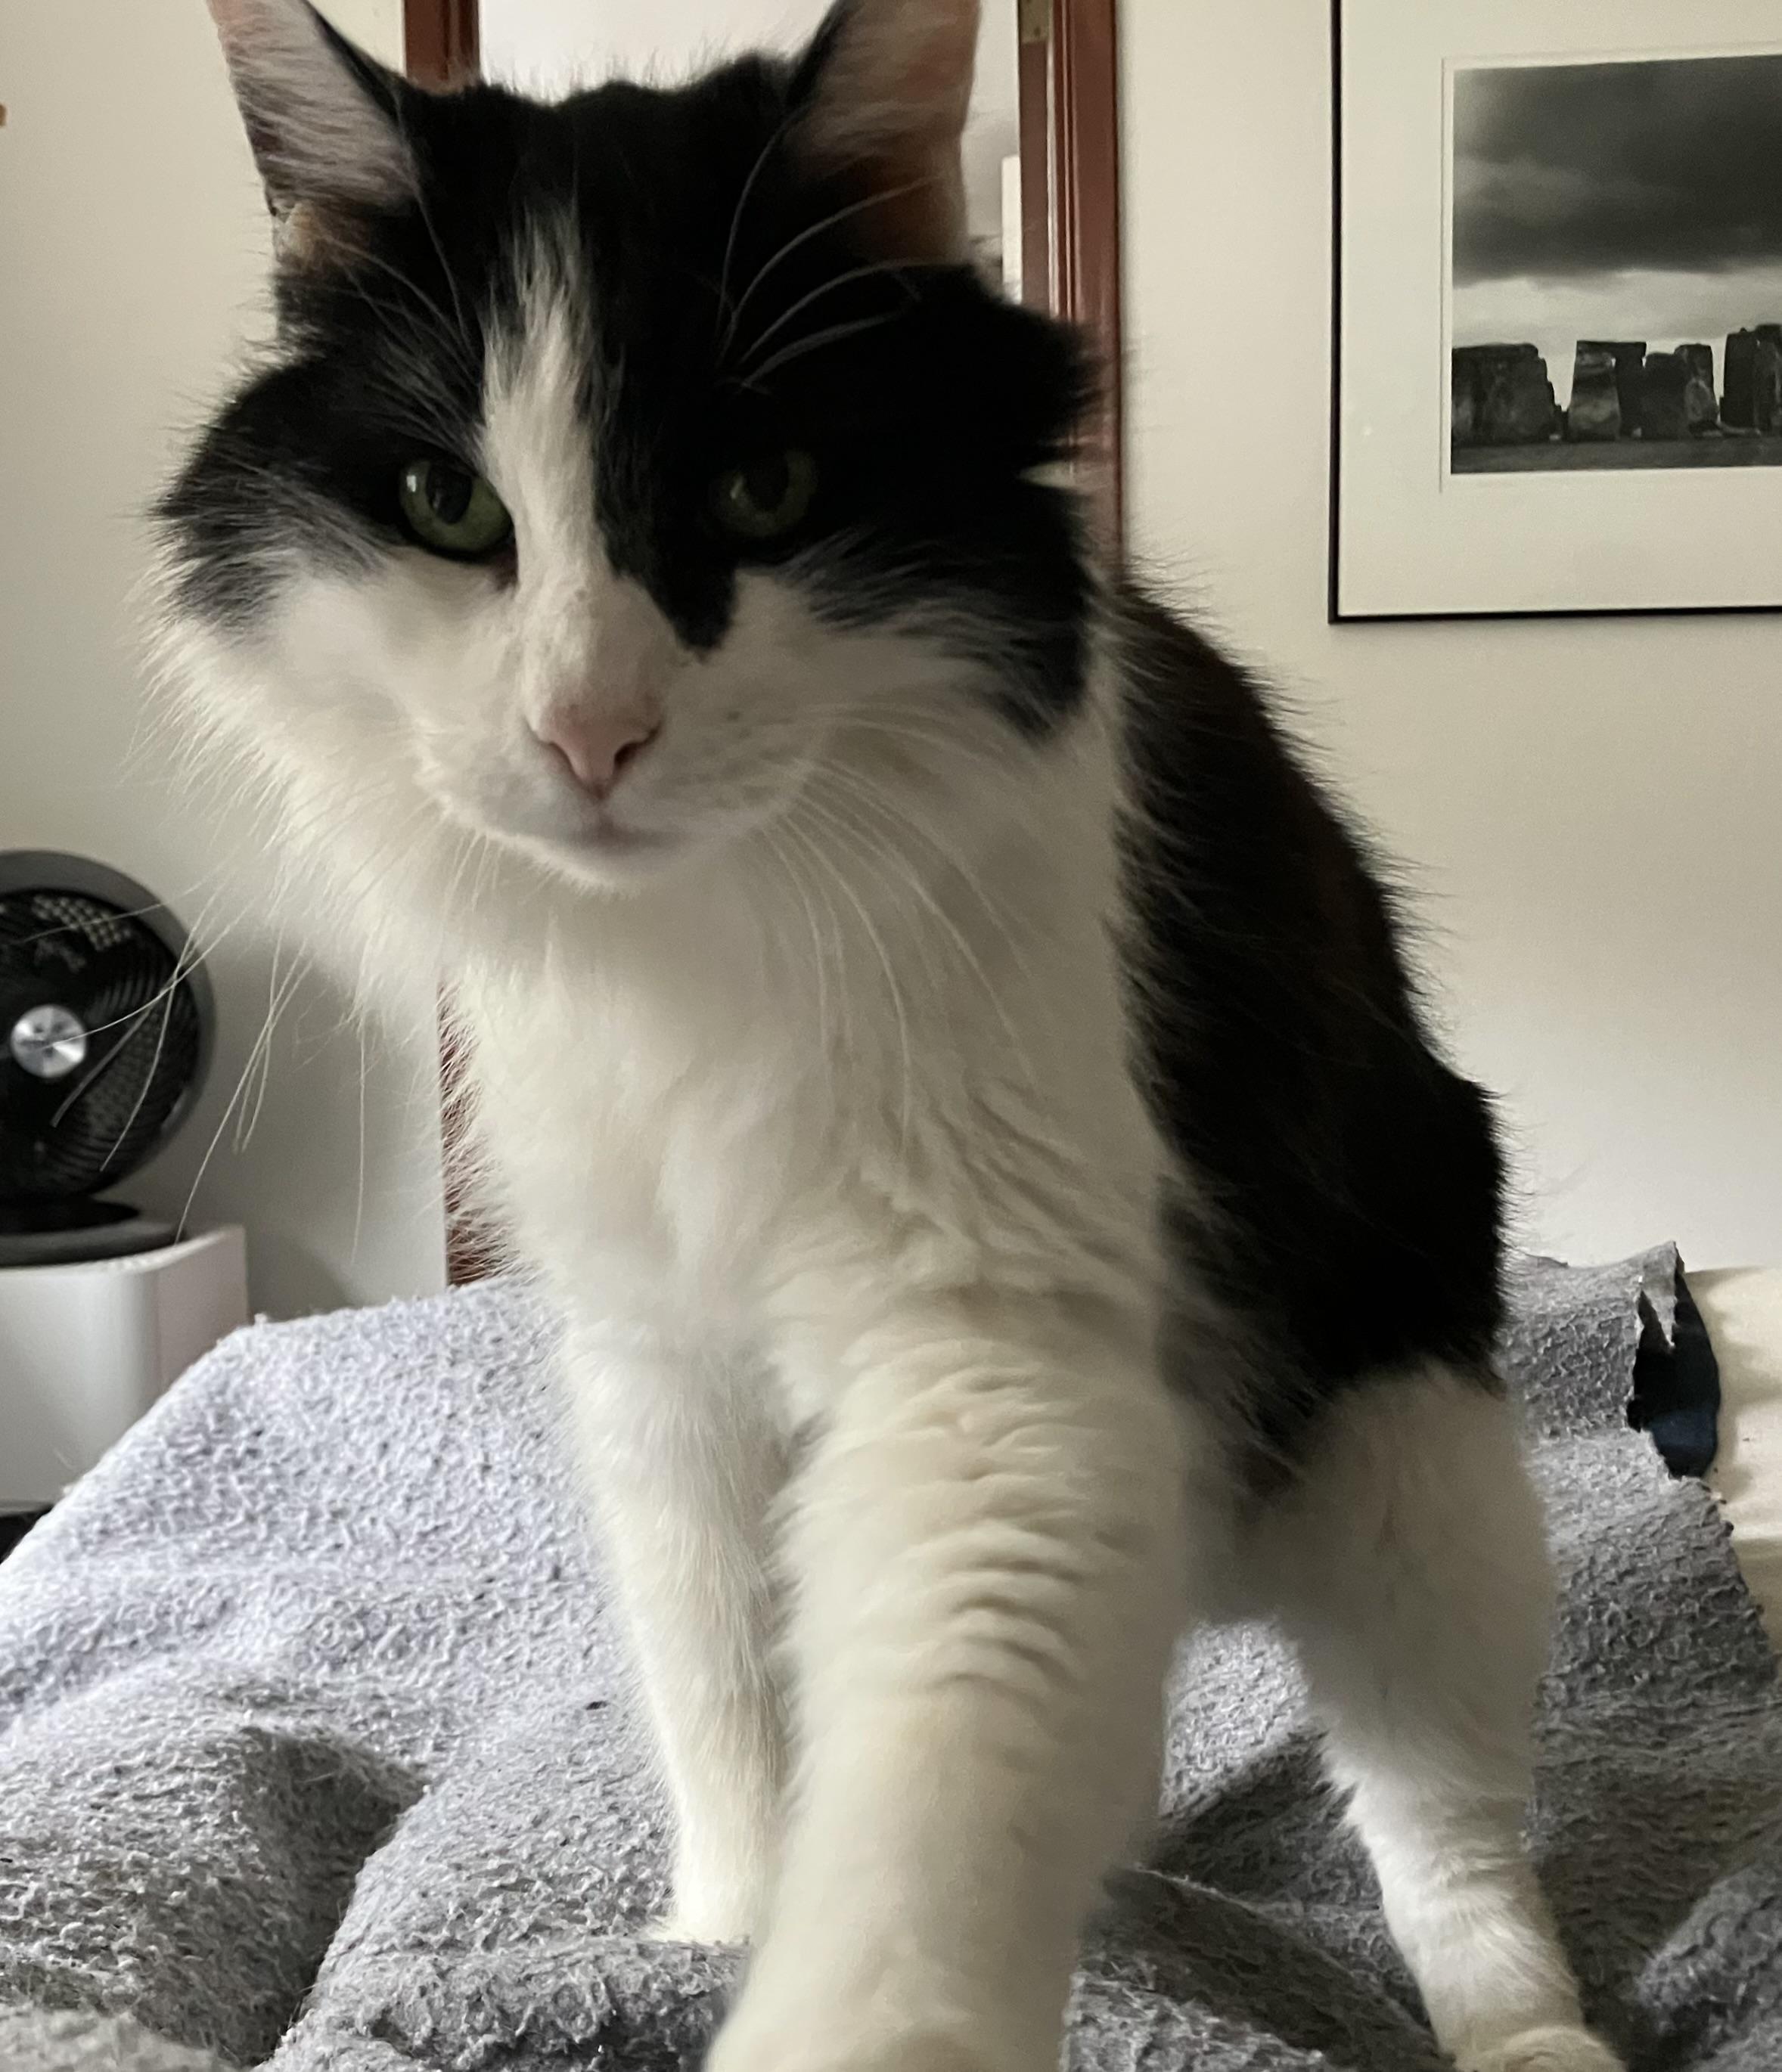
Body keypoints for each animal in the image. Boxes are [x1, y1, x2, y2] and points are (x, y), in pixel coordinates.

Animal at [159, 4, 1625, 2070]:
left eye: (764, 490)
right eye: (450, 509)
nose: (587, 732)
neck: (697, 942)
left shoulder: (994, 1355)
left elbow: (930, 1807)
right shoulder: (653, 1361)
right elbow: (724, 1698)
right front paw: (711, 1935)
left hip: (1408, 1445)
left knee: (1443, 1816)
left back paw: (1519, 2021)